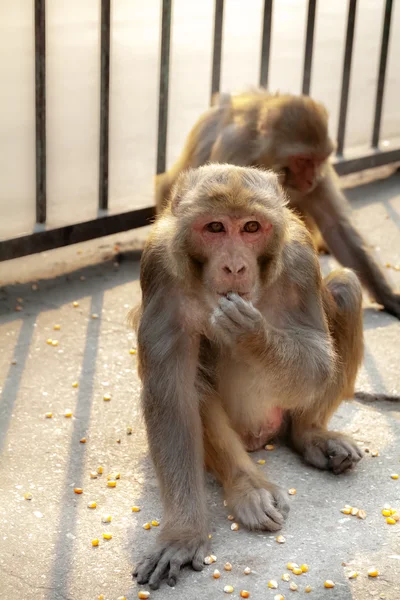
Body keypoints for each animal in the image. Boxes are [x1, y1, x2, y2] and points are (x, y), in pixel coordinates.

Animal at [135, 165, 366, 592]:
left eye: (251, 227)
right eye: (214, 227)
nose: (235, 267)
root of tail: (261, 437)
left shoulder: (301, 257)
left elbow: (317, 358)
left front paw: (250, 334)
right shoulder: (157, 266)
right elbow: (170, 393)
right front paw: (183, 535)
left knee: (345, 289)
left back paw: (311, 435)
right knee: (194, 373)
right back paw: (248, 487)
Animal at [155, 89, 400, 318]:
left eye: (318, 160)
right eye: (302, 160)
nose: (311, 179)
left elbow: (335, 227)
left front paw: (388, 297)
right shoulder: (234, 153)